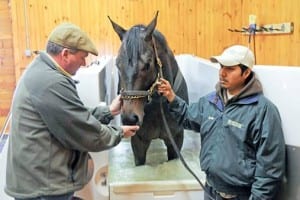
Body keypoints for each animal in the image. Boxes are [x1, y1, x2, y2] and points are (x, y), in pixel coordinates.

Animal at [108, 11, 188, 166]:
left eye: (147, 65)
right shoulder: (139, 142)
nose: (129, 119)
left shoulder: (175, 140)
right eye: (117, 64)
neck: (158, 105)